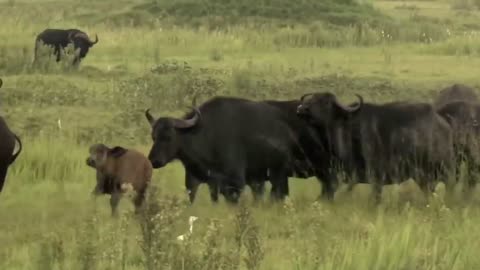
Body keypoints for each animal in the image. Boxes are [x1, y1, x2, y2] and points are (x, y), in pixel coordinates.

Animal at [296, 93, 454, 202]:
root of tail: (443, 124)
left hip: (442, 170)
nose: (302, 109)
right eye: (311, 98)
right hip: (423, 176)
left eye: (324, 102)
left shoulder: (376, 178)